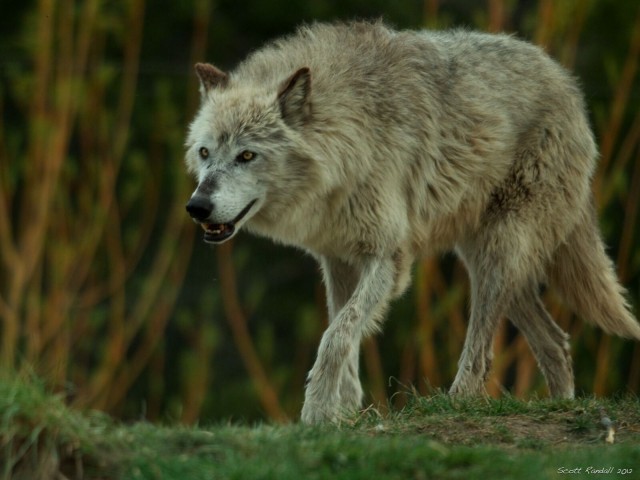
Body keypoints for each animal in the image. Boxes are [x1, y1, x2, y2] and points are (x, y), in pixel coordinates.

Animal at [184, 21, 640, 424]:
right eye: (205, 153)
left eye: (247, 155)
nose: (197, 207)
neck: (350, 137)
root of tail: (567, 82)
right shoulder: (338, 260)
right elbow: (344, 334)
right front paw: (344, 413)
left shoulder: (389, 259)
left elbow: (335, 336)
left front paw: (316, 413)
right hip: (493, 265)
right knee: (556, 343)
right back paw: (561, 407)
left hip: (497, 257)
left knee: (483, 353)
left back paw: (455, 404)